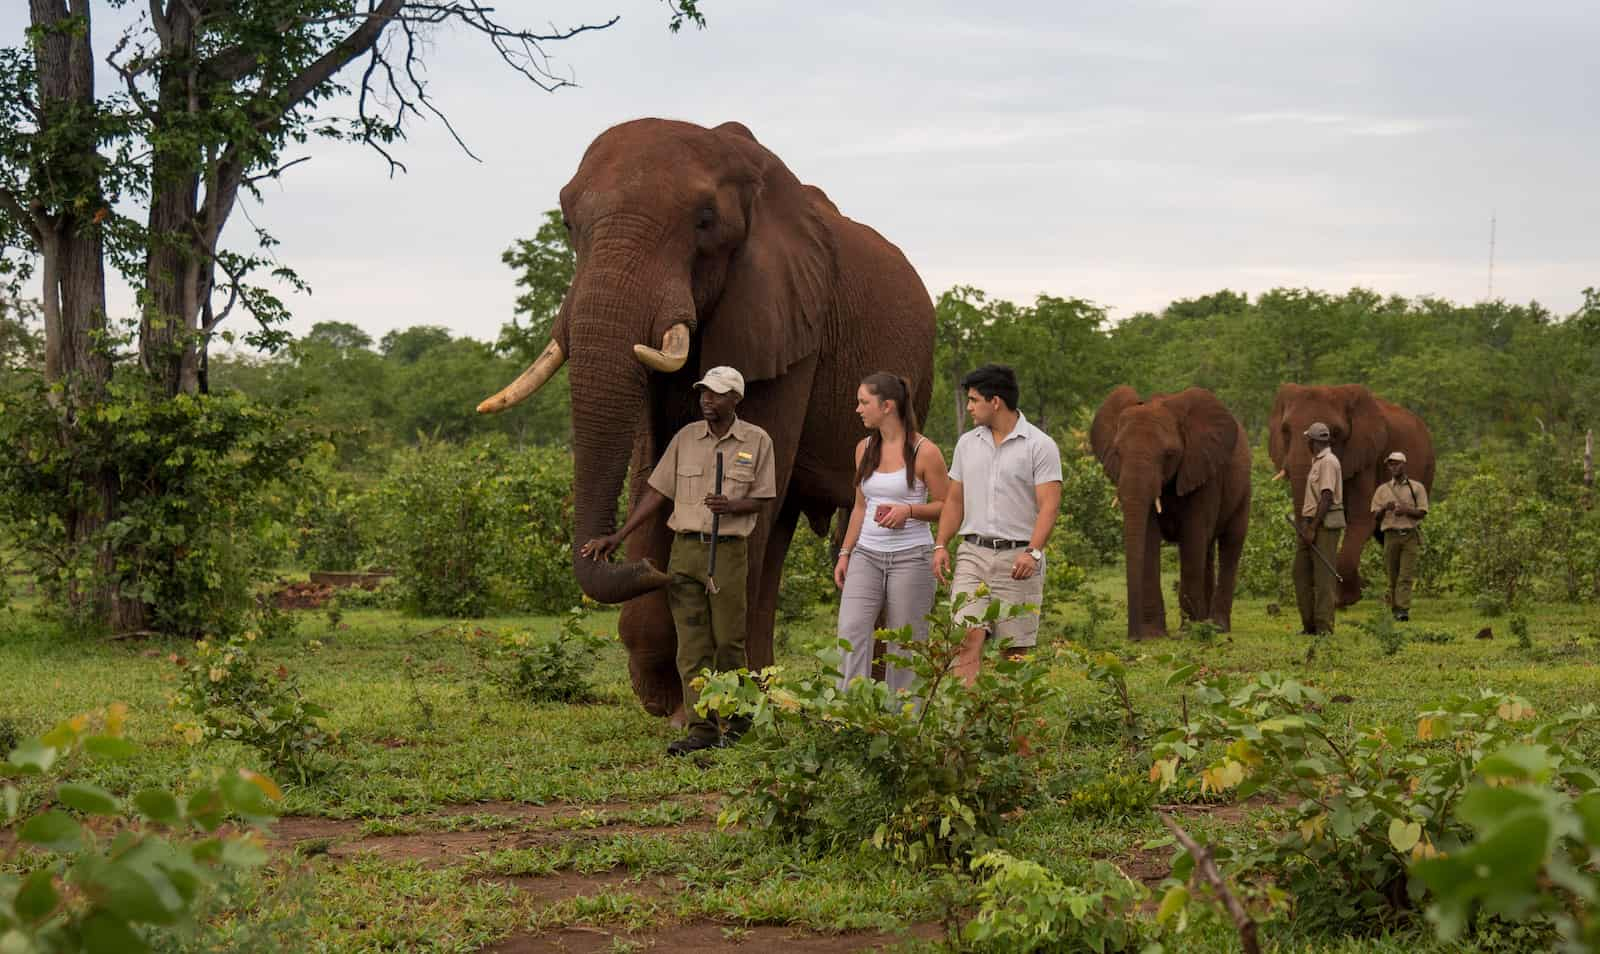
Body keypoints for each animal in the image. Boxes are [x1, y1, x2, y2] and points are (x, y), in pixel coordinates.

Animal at [477, 119, 935, 718]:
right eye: (567, 223)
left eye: (705, 221)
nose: (617, 557)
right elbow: (656, 464)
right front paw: (672, 699)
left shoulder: (788, 321)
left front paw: (707, 704)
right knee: (780, 527)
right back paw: (766, 690)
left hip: (917, 383)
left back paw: (870, 701)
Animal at [1090, 386, 1252, 640]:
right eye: (1116, 452)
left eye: (1169, 454)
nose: (1133, 637)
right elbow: (1149, 537)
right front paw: (1153, 634)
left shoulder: (1203, 470)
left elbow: (1193, 536)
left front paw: (1189, 633)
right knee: (1207, 550)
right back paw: (1205, 622)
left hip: (1243, 489)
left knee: (1230, 544)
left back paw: (1216, 627)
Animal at [1267, 383, 1436, 607]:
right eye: (1285, 430)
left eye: (1336, 432)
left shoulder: (1365, 456)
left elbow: (1362, 517)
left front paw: (1346, 599)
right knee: (1384, 536)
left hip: (1427, 467)